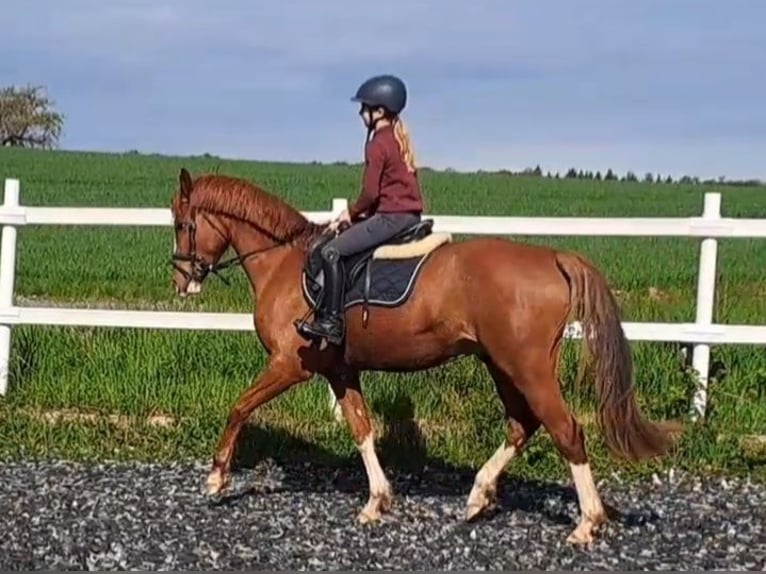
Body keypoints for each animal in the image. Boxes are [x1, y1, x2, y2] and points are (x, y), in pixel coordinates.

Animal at [170, 169, 680, 548]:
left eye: (180, 222)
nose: (180, 280)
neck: (285, 263)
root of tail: (554, 256)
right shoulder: (339, 369)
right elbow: (361, 428)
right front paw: (377, 501)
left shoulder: (289, 365)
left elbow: (239, 407)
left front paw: (216, 479)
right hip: (501, 365)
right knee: (523, 425)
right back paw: (478, 497)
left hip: (527, 367)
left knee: (565, 430)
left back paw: (586, 523)